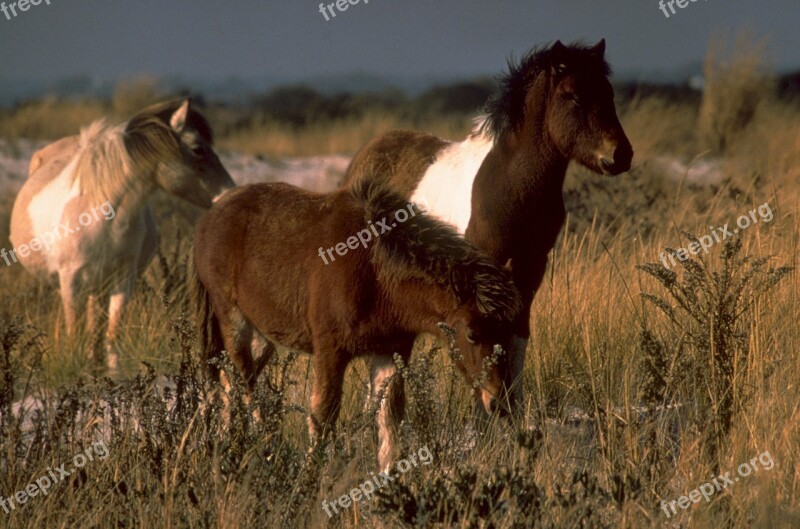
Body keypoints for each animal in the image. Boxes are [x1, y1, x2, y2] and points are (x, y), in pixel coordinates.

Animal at [9, 100, 234, 372]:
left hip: (98, 287)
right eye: (198, 149)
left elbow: (111, 334)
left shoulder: (122, 282)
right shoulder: (70, 282)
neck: (102, 217)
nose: (228, 194)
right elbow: (74, 332)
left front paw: (113, 374)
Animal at [191, 180, 520, 466]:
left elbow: (389, 424)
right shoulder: (330, 350)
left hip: (261, 337)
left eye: (509, 330)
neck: (376, 274)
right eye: (472, 333)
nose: (499, 403)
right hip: (232, 319)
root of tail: (209, 218)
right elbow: (323, 416)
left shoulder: (391, 350)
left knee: (230, 382)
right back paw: (263, 448)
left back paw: (227, 444)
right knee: (245, 384)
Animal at [340, 41, 636, 412]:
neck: (509, 186)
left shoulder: (531, 266)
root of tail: (361, 160)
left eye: (609, 93)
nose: (621, 155)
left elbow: (518, 331)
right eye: (574, 96)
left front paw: (513, 406)